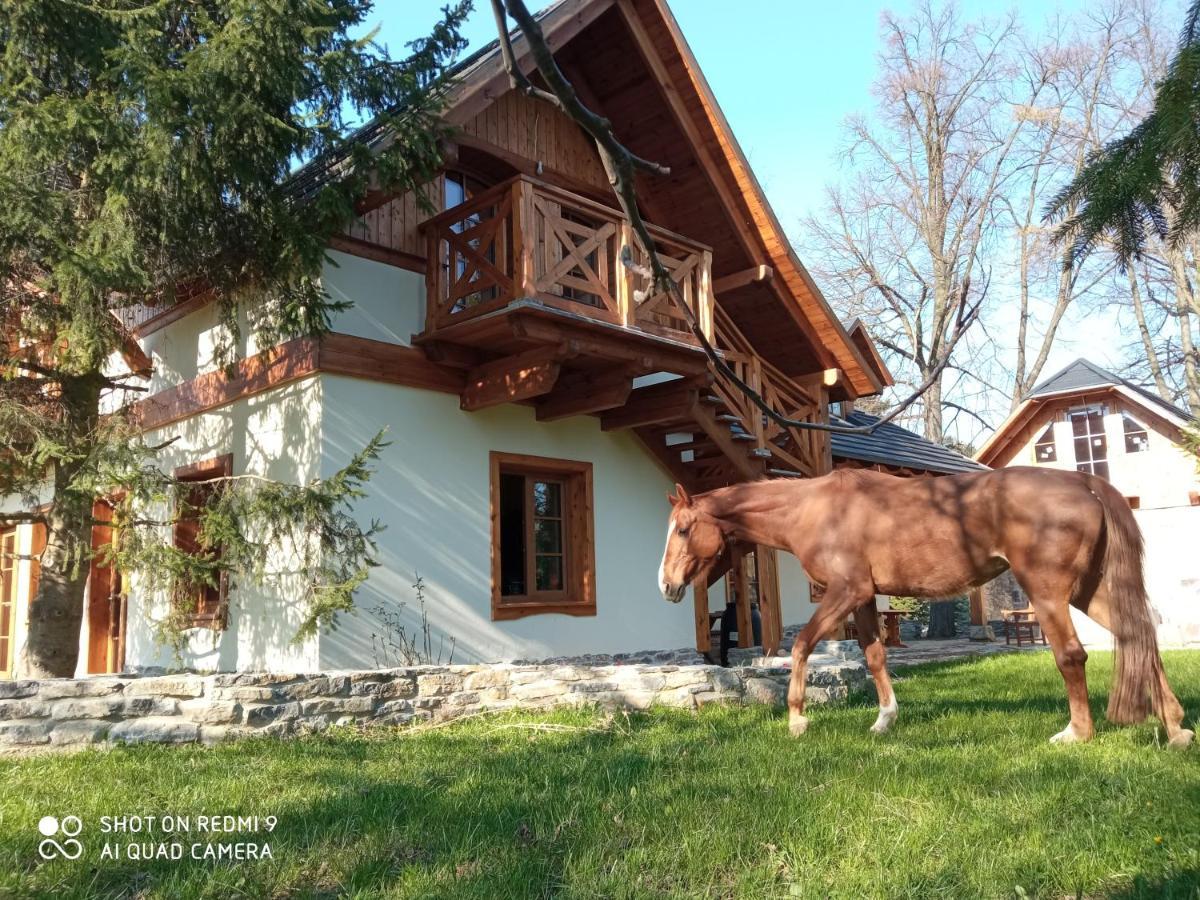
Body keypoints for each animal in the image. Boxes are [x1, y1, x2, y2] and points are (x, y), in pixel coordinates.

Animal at [662, 465, 1195, 748]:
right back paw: (1175, 728)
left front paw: (796, 719)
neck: (816, 509)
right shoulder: (863, 598)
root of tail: (1083, 482)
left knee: (1071, 655)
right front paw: (885, 719)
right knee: (1138, 635)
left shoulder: (844, 592)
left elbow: (802, 646)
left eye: (684, 529)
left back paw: (1076, 733)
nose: (666, 585)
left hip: (1049, 594)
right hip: (1088, 592)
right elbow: (875, 656)